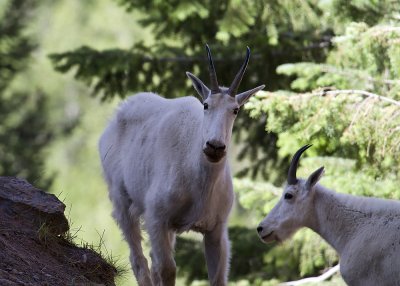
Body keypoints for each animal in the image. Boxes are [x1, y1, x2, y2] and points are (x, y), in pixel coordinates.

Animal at [98, 45, 264, 284]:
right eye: (206, 105)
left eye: (236, 110)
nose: (214, 147)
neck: (200, 180)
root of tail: (113, 120)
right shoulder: (157, 218)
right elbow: (168, 269)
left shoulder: (216, 229)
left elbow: (217, 278)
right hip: (121, 200)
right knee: (139, 260)